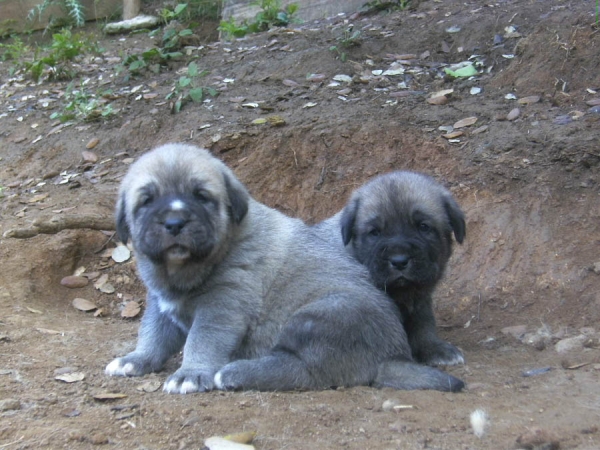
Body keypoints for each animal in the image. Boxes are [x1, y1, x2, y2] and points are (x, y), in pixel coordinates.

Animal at [316, 171, 466, 366]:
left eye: (423, 227)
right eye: (375, 232)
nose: (399, 261)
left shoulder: (420, 298)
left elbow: (423, 322)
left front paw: (432, 347)